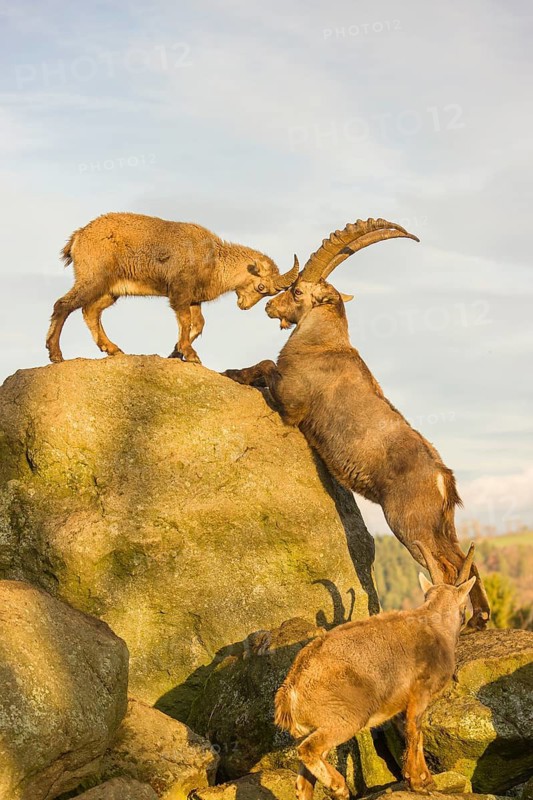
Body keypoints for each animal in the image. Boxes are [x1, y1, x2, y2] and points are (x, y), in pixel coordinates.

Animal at [46, 212, 298, 364]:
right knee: (64, 305)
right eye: (262, 286)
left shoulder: (194, 298)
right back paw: (55, 354)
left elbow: (198, 324)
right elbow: (185, 320)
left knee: (90, 311)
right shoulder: (180, 291)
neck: (215, 260)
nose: (244, 306)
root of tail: (79, 237)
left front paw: (177, 352)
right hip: (92, 279)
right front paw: (190, 354)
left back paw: (112, 349)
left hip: (110, 291)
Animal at [223, 218, 490, 629]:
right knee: (463, 560)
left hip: (409, 523)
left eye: (297, 291)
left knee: (443, 567)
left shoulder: (293, 404)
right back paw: (480, 619)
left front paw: (232, 372)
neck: (321, 345)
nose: (269, 306)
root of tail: (442, 477)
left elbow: (266, 365)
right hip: (441, 524)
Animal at [275, 542, 477, 799]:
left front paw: (423, 780)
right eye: (464, 606)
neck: (435, 626)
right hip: (346, 718)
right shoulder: (420, 692)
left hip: (311, 728)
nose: (464, 619)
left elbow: (408, 734)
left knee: (303, 783)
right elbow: (415, 731)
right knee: (308, 750)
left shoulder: (401, 705)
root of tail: (290, 692)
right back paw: (339, 786)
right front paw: (420, 782)